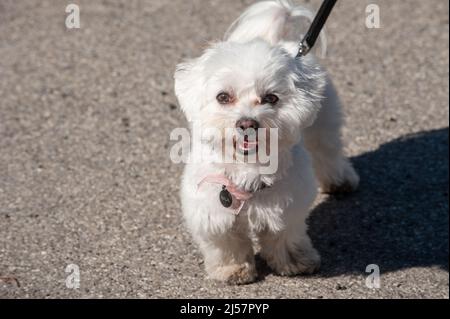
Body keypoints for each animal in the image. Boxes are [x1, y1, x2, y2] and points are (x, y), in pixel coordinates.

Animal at [172, 0, 358, 284]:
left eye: (271, 98)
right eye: (223, 96)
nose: (247, 123)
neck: (248, 167)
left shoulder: (288, 207)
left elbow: (285, 235)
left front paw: (295, 262)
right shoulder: (212, 211)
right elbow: (226, 243)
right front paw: (233, 269)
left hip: (324, 121)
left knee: (328, 150)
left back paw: (340, 179)